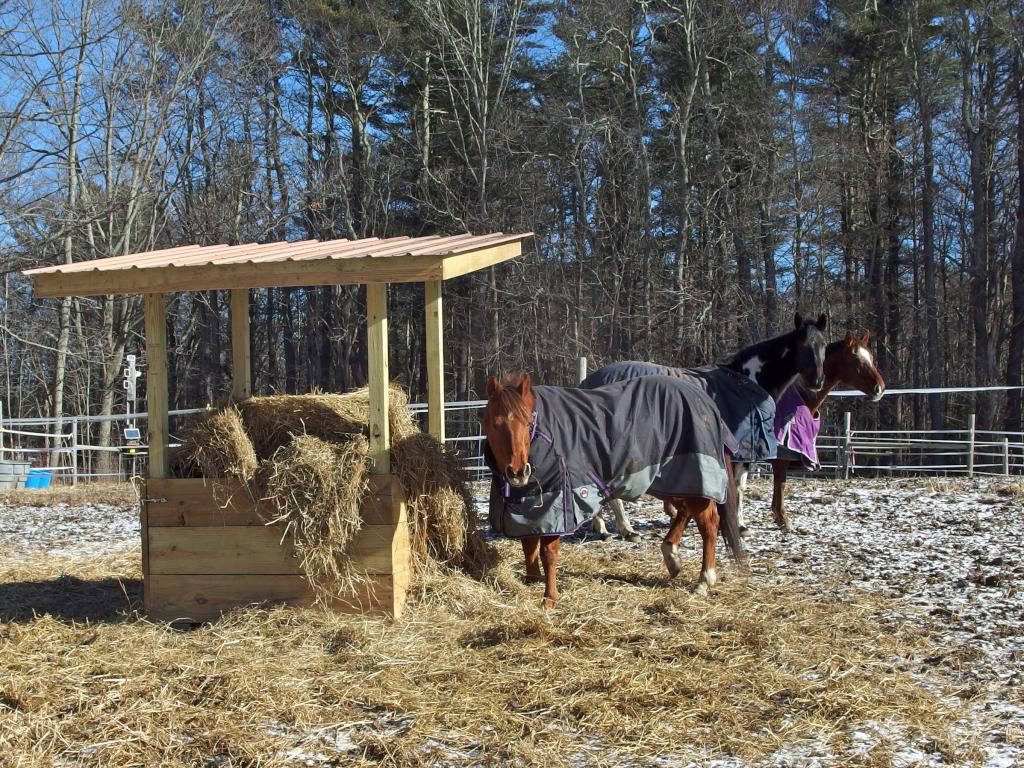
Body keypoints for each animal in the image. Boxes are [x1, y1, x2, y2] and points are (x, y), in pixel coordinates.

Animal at [479, 372, 745, 606]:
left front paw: (549, 599)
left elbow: (548, 552)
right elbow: (528, 545)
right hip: (671, 480)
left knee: (709, 523)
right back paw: (671, 556)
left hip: (694, 475)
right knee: (685, 510)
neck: (545, 435)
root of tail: (705, 401)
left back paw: (704, 579)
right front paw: (531, 581)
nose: (518, 472)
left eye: (527, 422)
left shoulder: (557, 503)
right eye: (495, 424)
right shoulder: (528, 506)